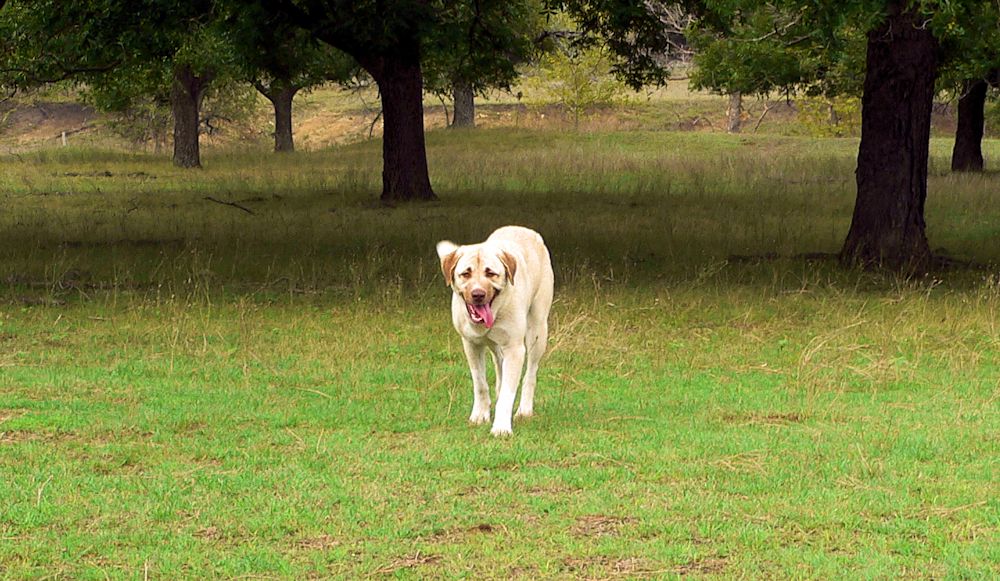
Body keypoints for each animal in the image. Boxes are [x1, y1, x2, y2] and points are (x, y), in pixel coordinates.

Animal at [436, 225, 556, 436]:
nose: (478, 294)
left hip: (537, 331)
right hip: (496, 345)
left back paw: (525, 409)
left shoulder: (515, 348)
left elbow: (509, 392)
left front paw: (501, 427)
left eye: (491, 273)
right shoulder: (471, 344)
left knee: (530, 373)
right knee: (499, 363)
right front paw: (480, 415)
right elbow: (480, 383)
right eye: (465, 273)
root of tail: (525, 229)